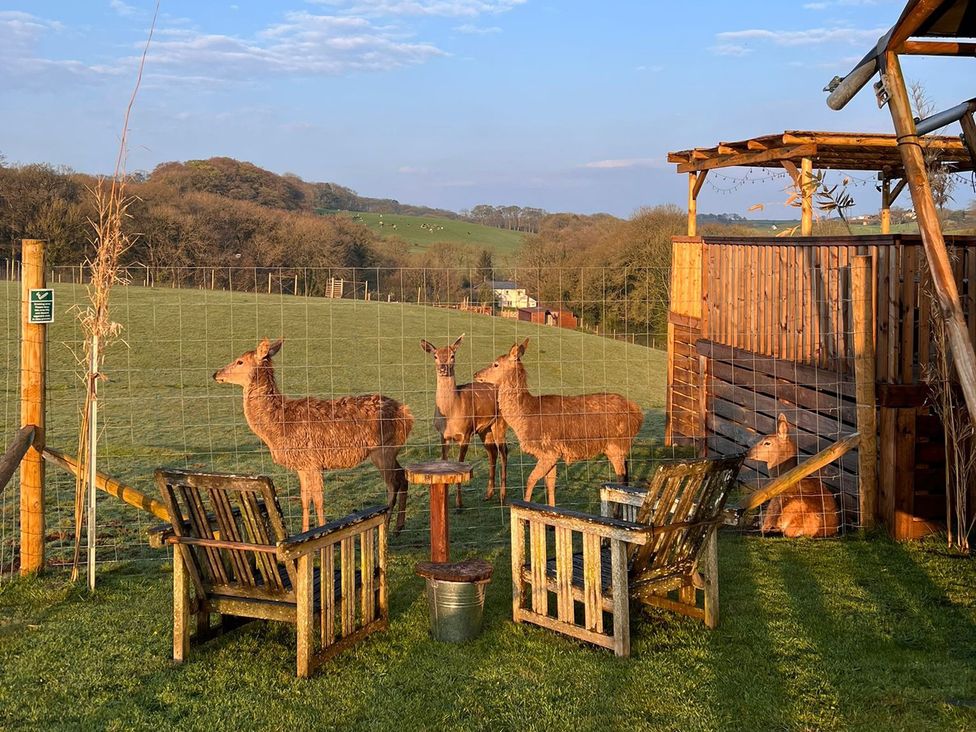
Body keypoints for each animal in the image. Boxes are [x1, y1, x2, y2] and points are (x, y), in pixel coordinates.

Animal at [213, 338, 414, 534]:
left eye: (240, 361)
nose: (215, 373)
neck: (278, 427)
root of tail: (407, 414)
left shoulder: (313, 461)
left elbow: (318, 500)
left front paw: (323, 531)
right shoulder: (302, 465)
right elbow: (305, 498)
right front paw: (304, 531)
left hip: (382, 451)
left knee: (392, 485)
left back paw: (387, 526)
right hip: (391, 450)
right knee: (402, 476)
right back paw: (399, 526)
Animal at [420, 334, 508, 506]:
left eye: (452, 355)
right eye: (435, 356)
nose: (443, 368)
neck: (451, 414)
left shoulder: (466, 433)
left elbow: (460, 464)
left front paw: (459, 504)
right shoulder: (442, 435)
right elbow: (445, 460)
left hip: (500, 423)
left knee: (504, 451)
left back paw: (502, 496)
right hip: (484, 430)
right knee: (492, 452)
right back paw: (488, 494)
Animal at [474, 338, 643, 505]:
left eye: (496, 364)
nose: (476, 374)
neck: (527, 418)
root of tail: (638, 413)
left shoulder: (549, 451)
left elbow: (531, 479)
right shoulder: (552, 453)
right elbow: (550, 483)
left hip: (616, 445)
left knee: (621, 481)